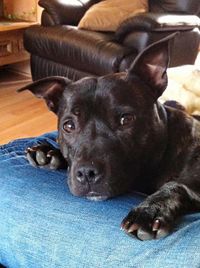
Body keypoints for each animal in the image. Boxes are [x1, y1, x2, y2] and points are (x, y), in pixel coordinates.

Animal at [19, 33, 200, 241]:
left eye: (126, 119)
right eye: (69, 126)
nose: (86, 173)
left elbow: (179, 185)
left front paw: (149, 211)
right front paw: (48, 153)